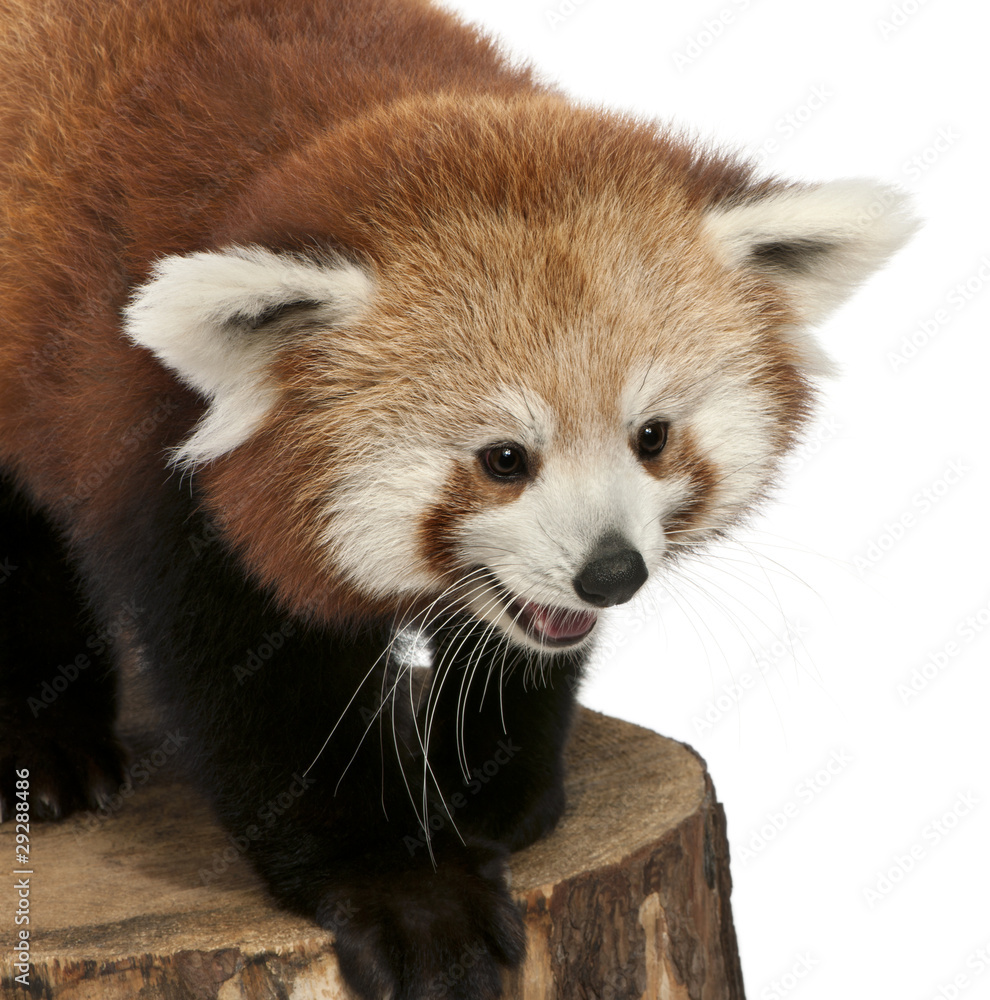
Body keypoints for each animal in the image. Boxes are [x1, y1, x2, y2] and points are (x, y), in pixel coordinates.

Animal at [0, 0, 920, 996]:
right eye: (504, 459)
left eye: (651, 436)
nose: (612, 574)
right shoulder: (153, 455)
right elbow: (257, 692)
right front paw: (408, 889)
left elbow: (522, 642)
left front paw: (489, 784)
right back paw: (45, 742)